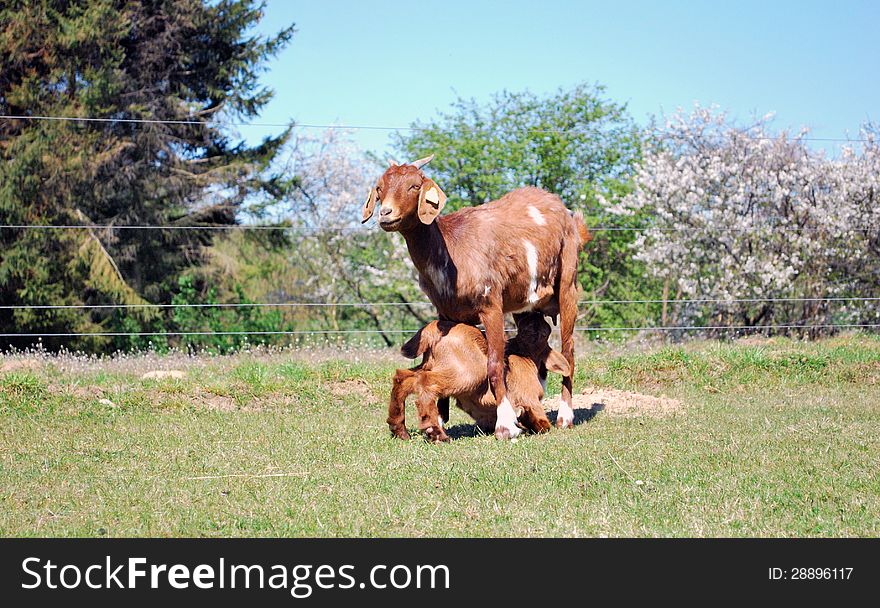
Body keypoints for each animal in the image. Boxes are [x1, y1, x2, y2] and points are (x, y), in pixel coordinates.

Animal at [386, 314, 572, 442]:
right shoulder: (532, 400)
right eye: (544, 332)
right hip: (470, 372)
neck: (525, 354)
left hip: (430, 366)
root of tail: (433, 328)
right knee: (425, 382)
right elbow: (543, 424)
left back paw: (399, 428)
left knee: (403, 377)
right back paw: (434, 431)